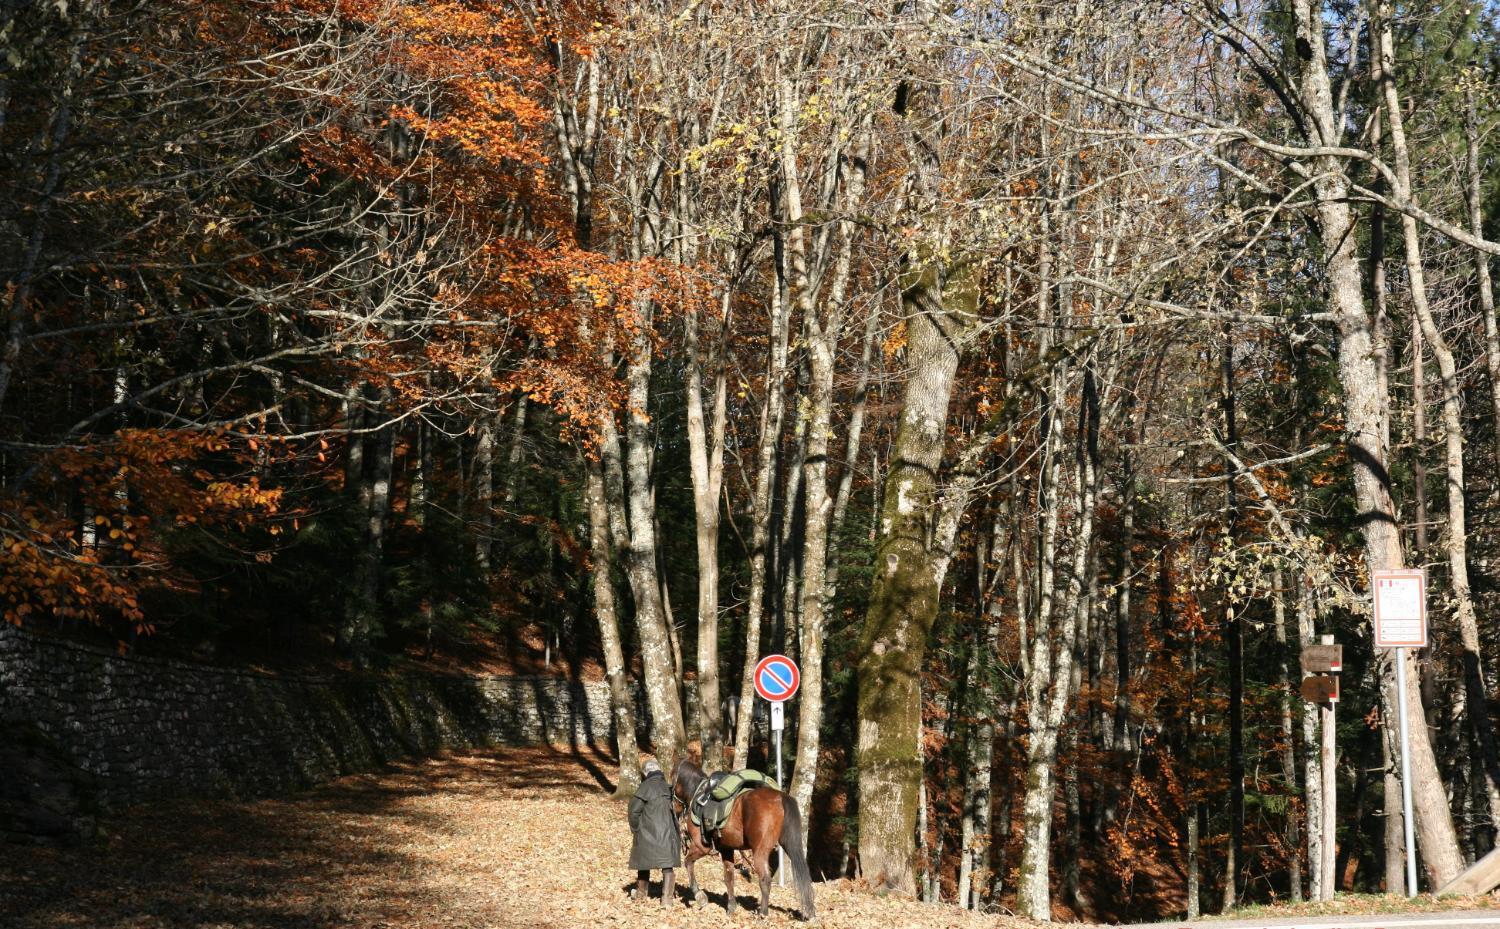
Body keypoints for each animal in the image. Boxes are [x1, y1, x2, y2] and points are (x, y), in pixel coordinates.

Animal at [672, 759, 816, 918]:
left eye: (672, 779)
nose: (673, 808)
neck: (698, 794)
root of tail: (780, 797)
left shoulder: (700, 846)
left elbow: (688, 863)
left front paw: (700, 896)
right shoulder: (726, 849)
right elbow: (729, 878)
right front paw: (731, 907)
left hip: (759, 851)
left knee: (765, 879)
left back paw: (763, 914)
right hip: (790, 845)